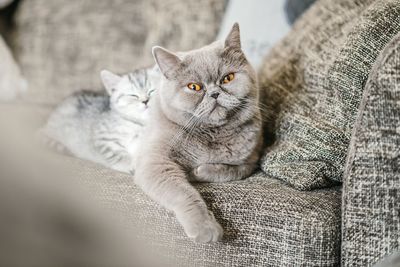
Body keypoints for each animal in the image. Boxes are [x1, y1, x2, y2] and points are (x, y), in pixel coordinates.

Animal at [136, 24, 264, 244]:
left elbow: (231, 170)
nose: (214, 93)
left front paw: (198, 171)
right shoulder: (154, 162)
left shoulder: (252, 158)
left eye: (228, 78)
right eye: (194, 87)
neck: (212, 134)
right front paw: (205, 228)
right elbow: (182, 192)